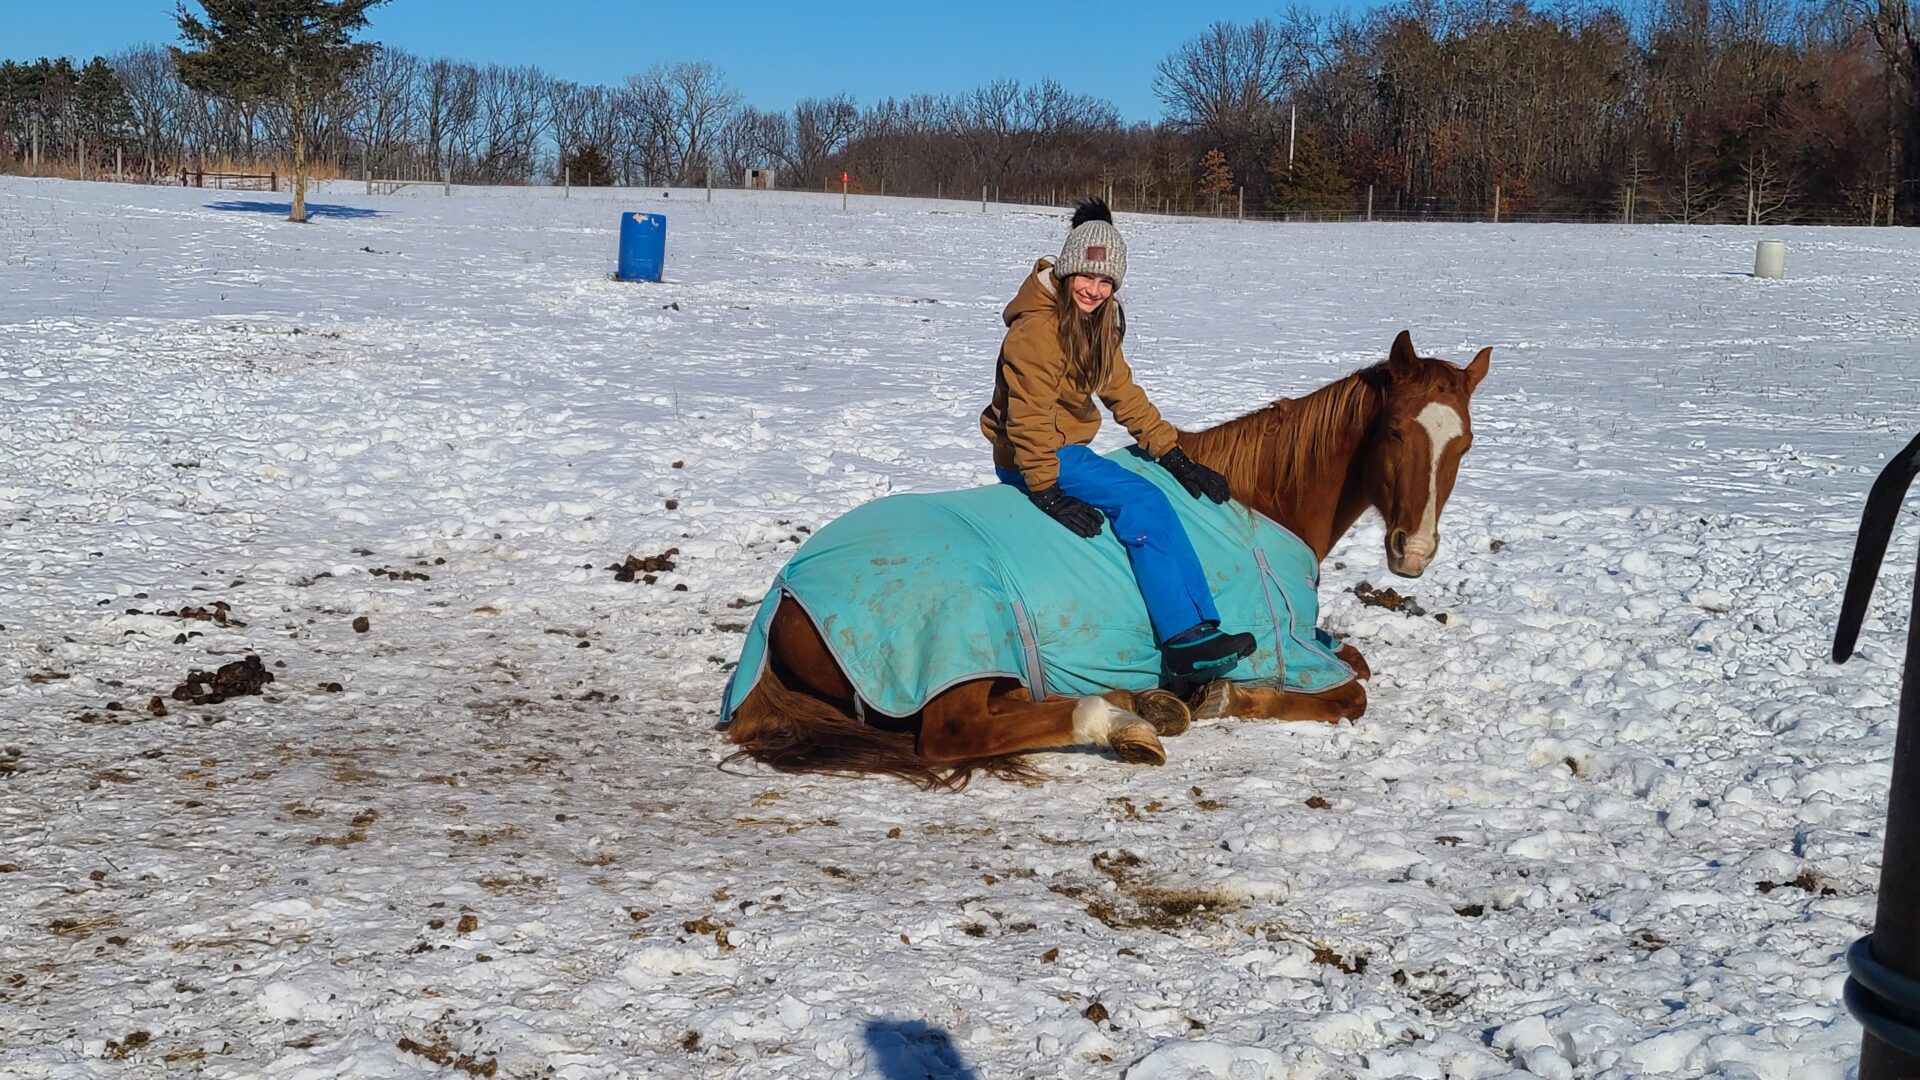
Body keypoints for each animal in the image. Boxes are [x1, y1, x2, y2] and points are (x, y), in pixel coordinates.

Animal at [724, 331, 1491, 787]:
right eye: (1394, 432)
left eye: (1466, 443)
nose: (1415, 552)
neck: (1257, 498)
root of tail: (788, 588)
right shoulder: (1286, 648)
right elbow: (1350, 691)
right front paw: (1226, 694)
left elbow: (1355, 659)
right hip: (960, 651)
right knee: (953, 735)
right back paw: (1120, 722)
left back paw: (1141, 702)